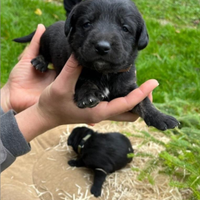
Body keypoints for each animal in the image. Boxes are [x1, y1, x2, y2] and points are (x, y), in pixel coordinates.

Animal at [14, 0, 180, 130]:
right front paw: (89, 95)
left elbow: (142, 100)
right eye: (87, 24)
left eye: (125, 28)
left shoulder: (127, 85)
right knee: (42, 51)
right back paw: (40, 62)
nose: (102, 47)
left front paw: (160, 116)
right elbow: (82, 82)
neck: (104, 72)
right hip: (45, 40)